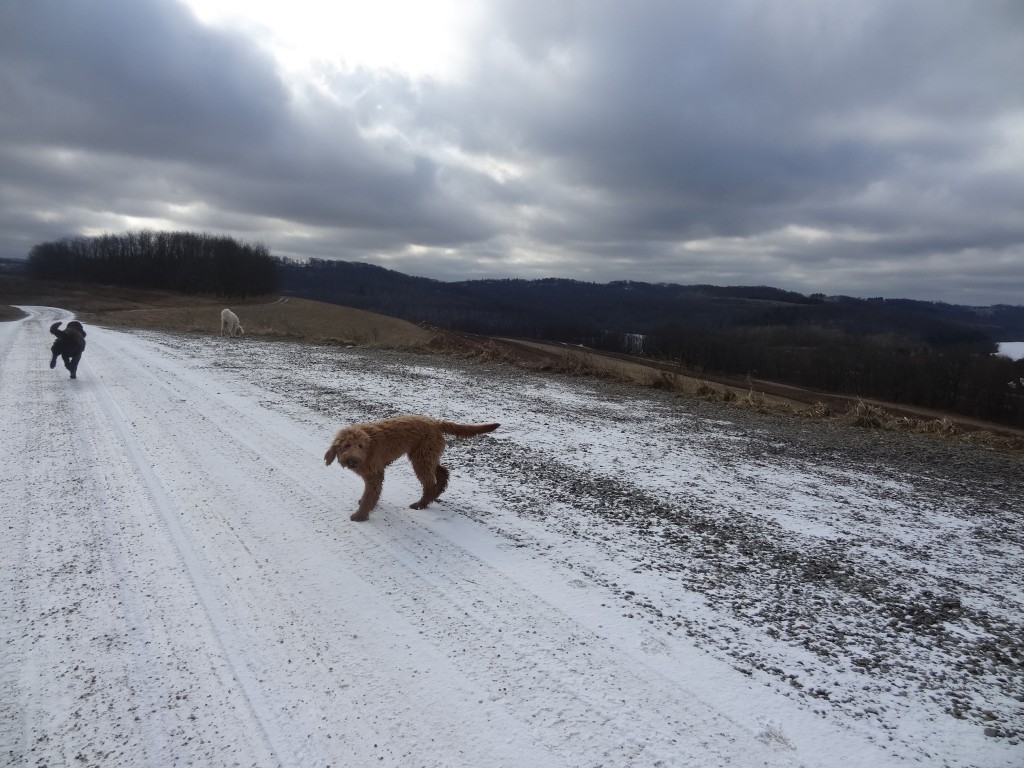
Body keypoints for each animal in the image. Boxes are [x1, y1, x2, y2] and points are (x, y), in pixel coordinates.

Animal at [323, 415, 499, 524]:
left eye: (360, 446)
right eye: (346, 445)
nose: (353, 461)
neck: (368, 447)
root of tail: (436, 423)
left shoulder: (374, 474)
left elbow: (369, 495)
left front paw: (360, 515)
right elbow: (371, 494)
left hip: (421, 459)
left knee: (429, 483)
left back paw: (422, 503)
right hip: (427, 456)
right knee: (442, 473)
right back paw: (436, 493)